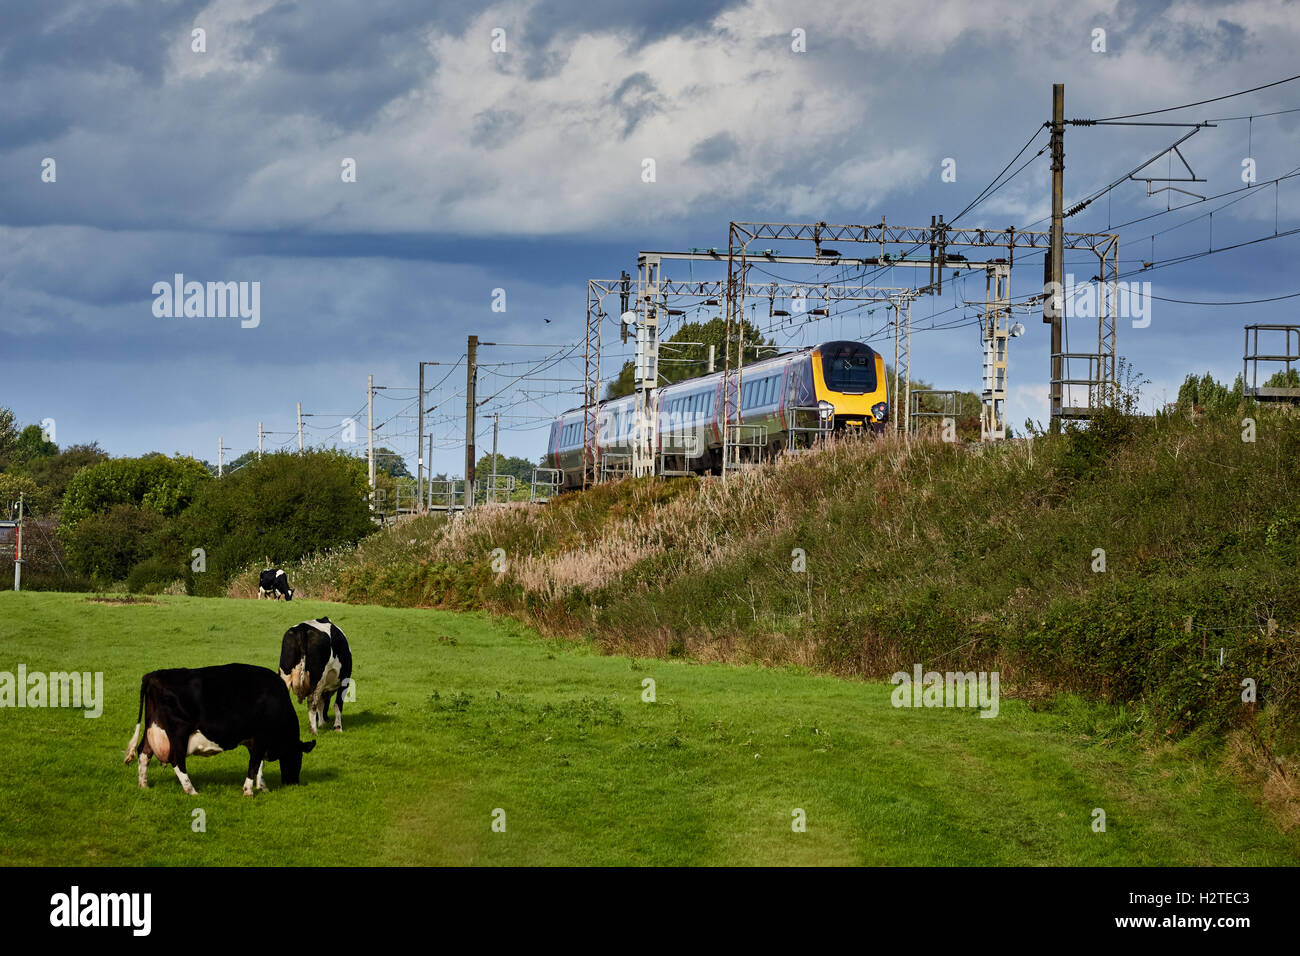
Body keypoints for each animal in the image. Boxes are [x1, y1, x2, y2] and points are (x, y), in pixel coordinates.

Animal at [124, 660, 317, 796]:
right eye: (298, 756)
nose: (293, 782)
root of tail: (155, 675)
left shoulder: (255, 740)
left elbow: (259, 765)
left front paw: (262, 787)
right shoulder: (261, 737)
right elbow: (254, 764)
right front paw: (248, 791)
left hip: (153, 727)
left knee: (144, 753)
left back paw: (144, 786)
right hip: (179, 733)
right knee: (176, 760)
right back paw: (192, 791)